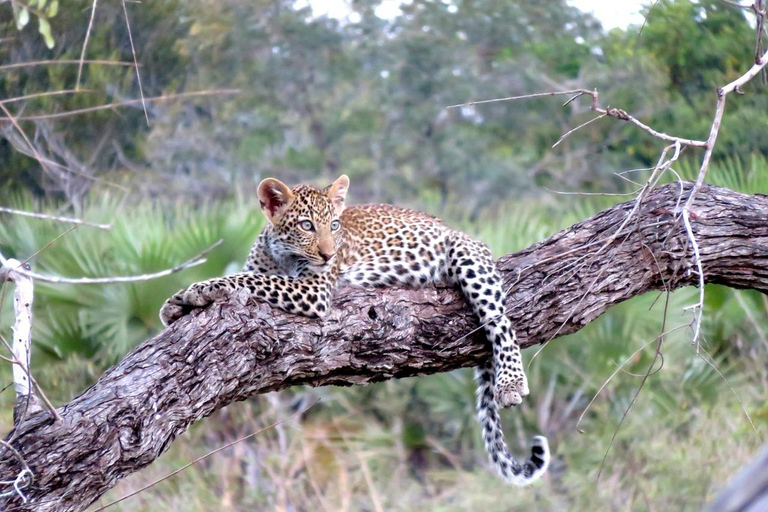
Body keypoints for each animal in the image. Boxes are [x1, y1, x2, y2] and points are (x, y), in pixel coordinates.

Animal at [159, 175, 548, 484]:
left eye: (334, 225)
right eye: (306, 226)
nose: (330, 255)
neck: (281, 256)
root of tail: (455, 229)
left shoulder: (313, 290)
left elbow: (249, 279)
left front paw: (197, 289)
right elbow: (250, 275)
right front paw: (175, 303)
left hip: (466, 255)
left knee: (500, 321)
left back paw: (511, 383)